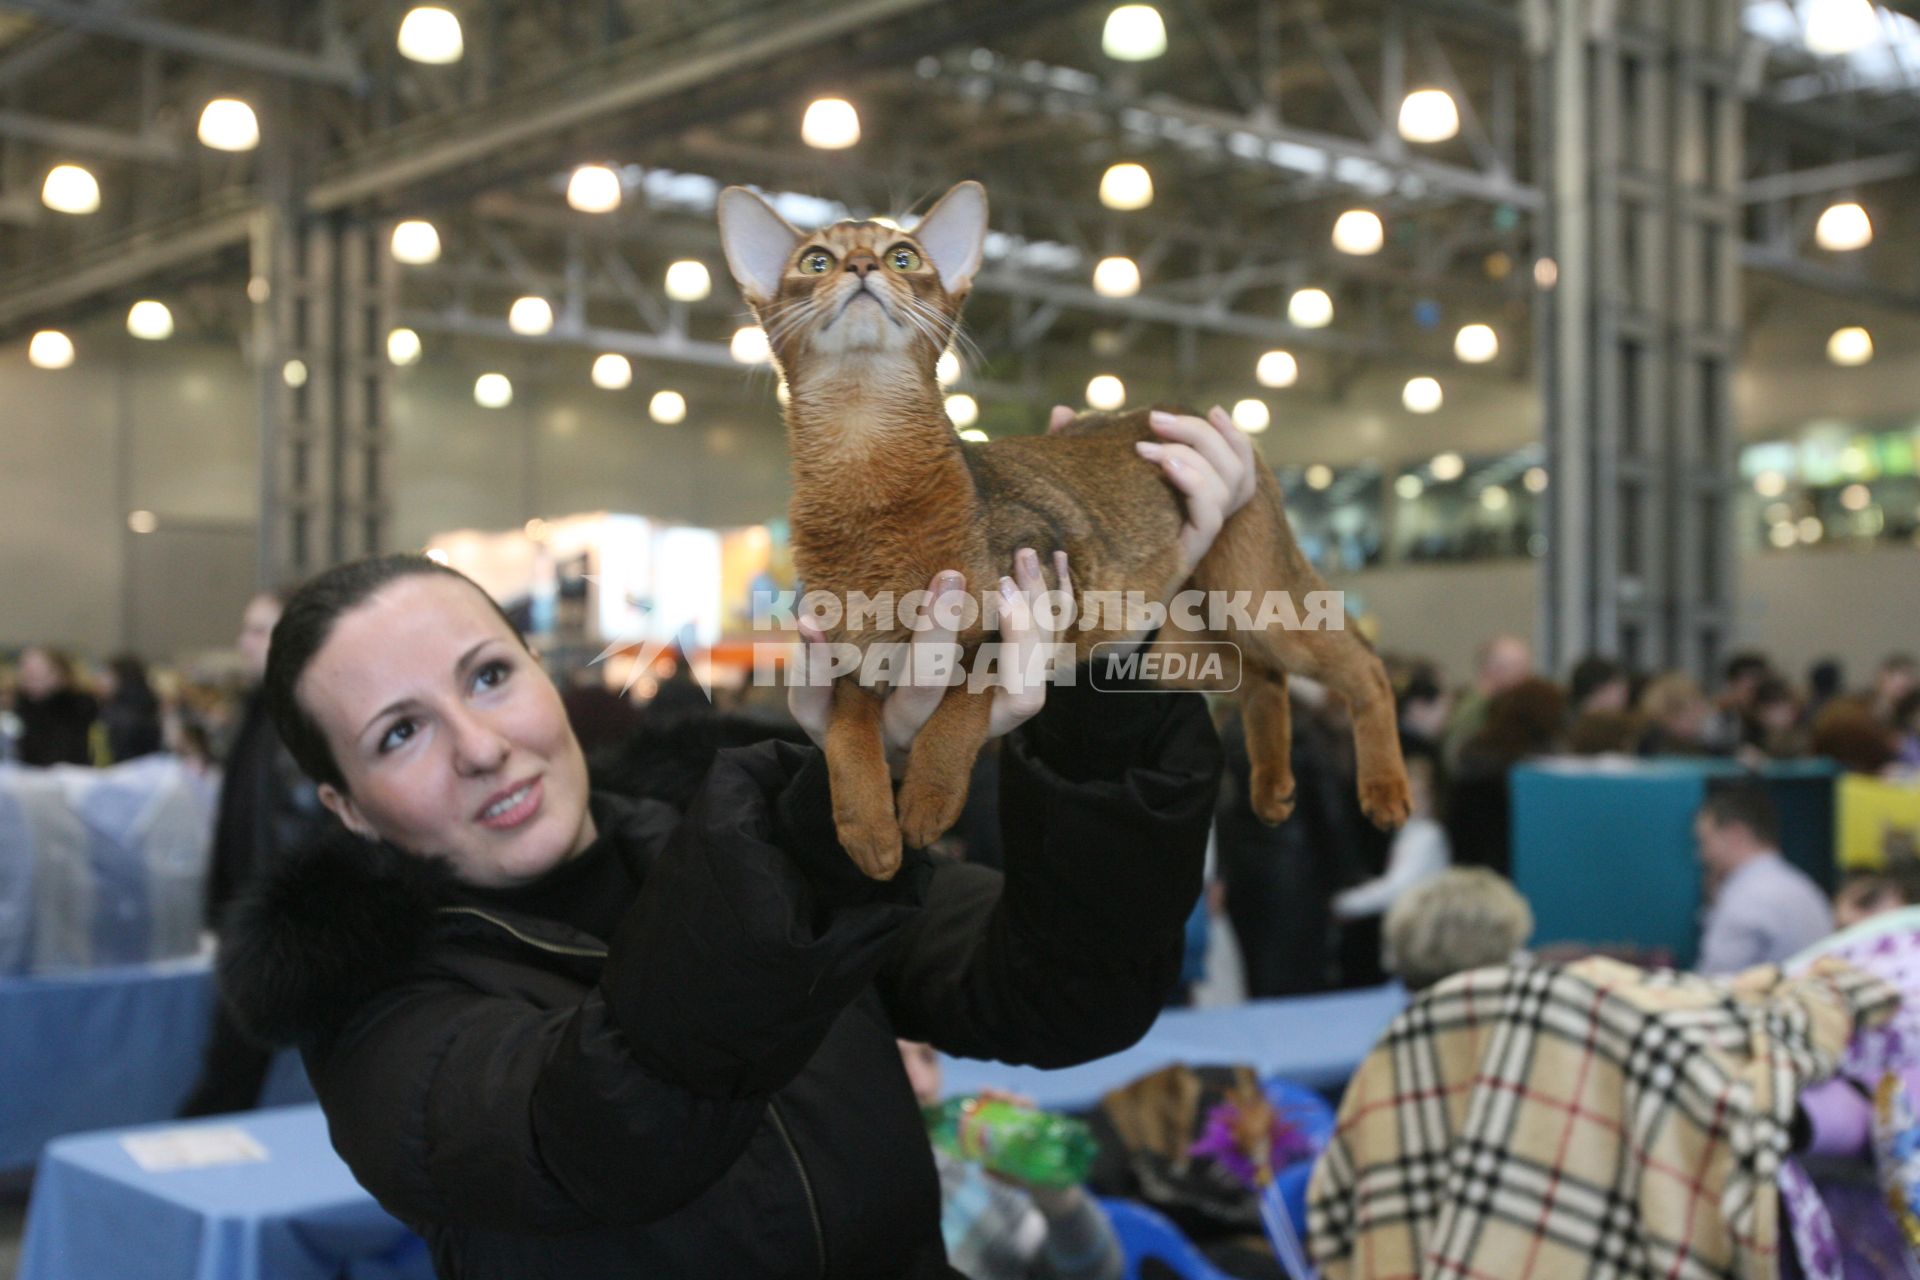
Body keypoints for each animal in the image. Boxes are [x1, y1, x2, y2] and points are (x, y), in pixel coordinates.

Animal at [721, 182, 1413, 882]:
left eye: (903, 256)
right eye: (815, 261)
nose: (861, 266)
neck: (867, 472)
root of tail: (1179, 405)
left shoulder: (1023, 604)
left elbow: (962, 700)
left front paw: (926, 802)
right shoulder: (851, 654)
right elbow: (845, 732)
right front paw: (866, 829)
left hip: (1257, 594)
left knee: (1362, 662)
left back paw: (1384, 790)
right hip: (1189, 638)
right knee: (1264, 676)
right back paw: (1272, 787)